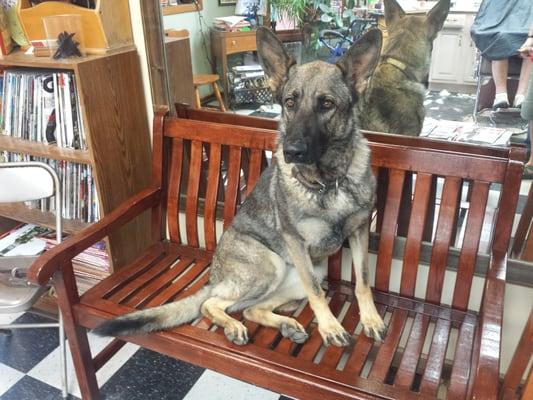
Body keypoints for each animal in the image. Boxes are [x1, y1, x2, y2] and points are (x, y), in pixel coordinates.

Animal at [95, 28, 384, 346]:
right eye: (290, 102)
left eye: (327, 104)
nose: (291, 151)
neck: (328, 181)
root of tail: (214, 277)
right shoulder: (297, 244)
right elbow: (318, 294)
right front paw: (330, 326)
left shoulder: (359, 233)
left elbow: (363, 281)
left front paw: (370, 318)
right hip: (271, 265)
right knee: (213, 304)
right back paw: (234, 325)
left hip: (306, 272)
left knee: (251, 308)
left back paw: (286, 324)